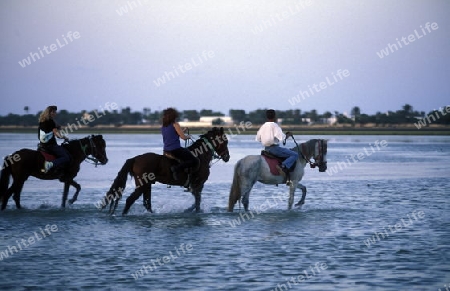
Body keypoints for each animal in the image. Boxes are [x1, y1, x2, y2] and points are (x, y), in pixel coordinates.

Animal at [100, 126, 230, 216]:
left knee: (147, 203)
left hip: (147, 185)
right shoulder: (198, 184)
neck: (201, 156)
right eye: (225, 141)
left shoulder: (196, 186)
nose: (227, 157)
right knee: (130, 200)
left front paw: (188, 210)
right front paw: (192, 211)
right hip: (142, 185)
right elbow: (197, 202)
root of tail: (136, 158)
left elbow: (196, 202)